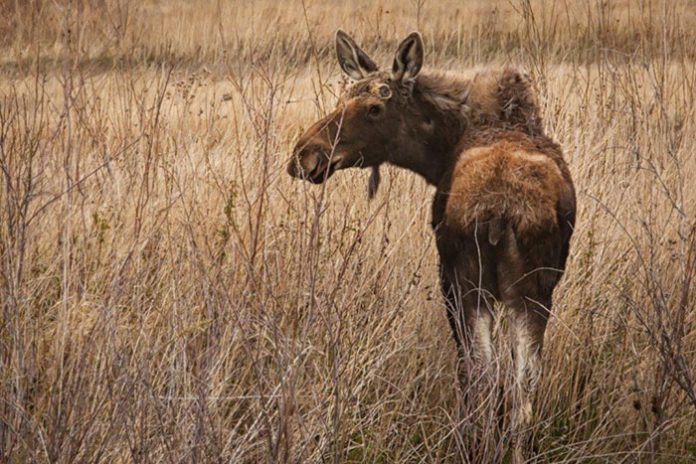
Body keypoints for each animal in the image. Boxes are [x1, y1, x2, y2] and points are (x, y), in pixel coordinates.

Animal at [286, 30, 576, 462]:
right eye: (343, 98)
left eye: (374, 107)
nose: (305, 155)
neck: (440, 150)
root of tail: (501, 212)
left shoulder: (450, 282)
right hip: (525, 293)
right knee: (517, 385)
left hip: (476, 287)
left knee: (486, 376)